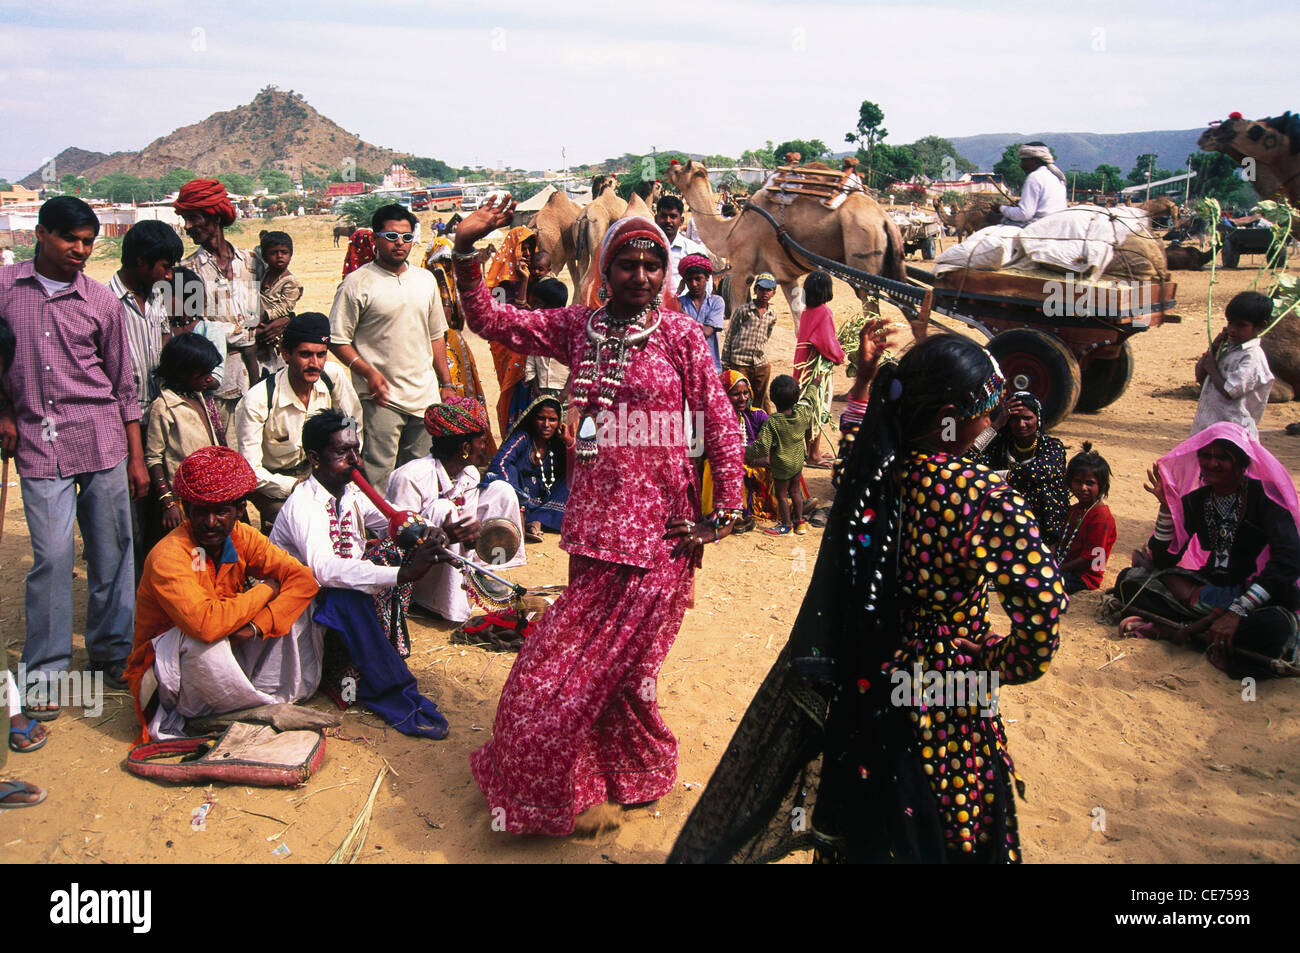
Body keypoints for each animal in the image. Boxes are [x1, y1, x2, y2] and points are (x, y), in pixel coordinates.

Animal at [665, 162, 909, 338]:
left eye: (682, 168)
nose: (668, 170)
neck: (730, 230)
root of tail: (885, 218)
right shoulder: (786, 276)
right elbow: (800, 326)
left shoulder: (742, 270)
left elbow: (734, 317)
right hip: (892, 264)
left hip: (864, 255)